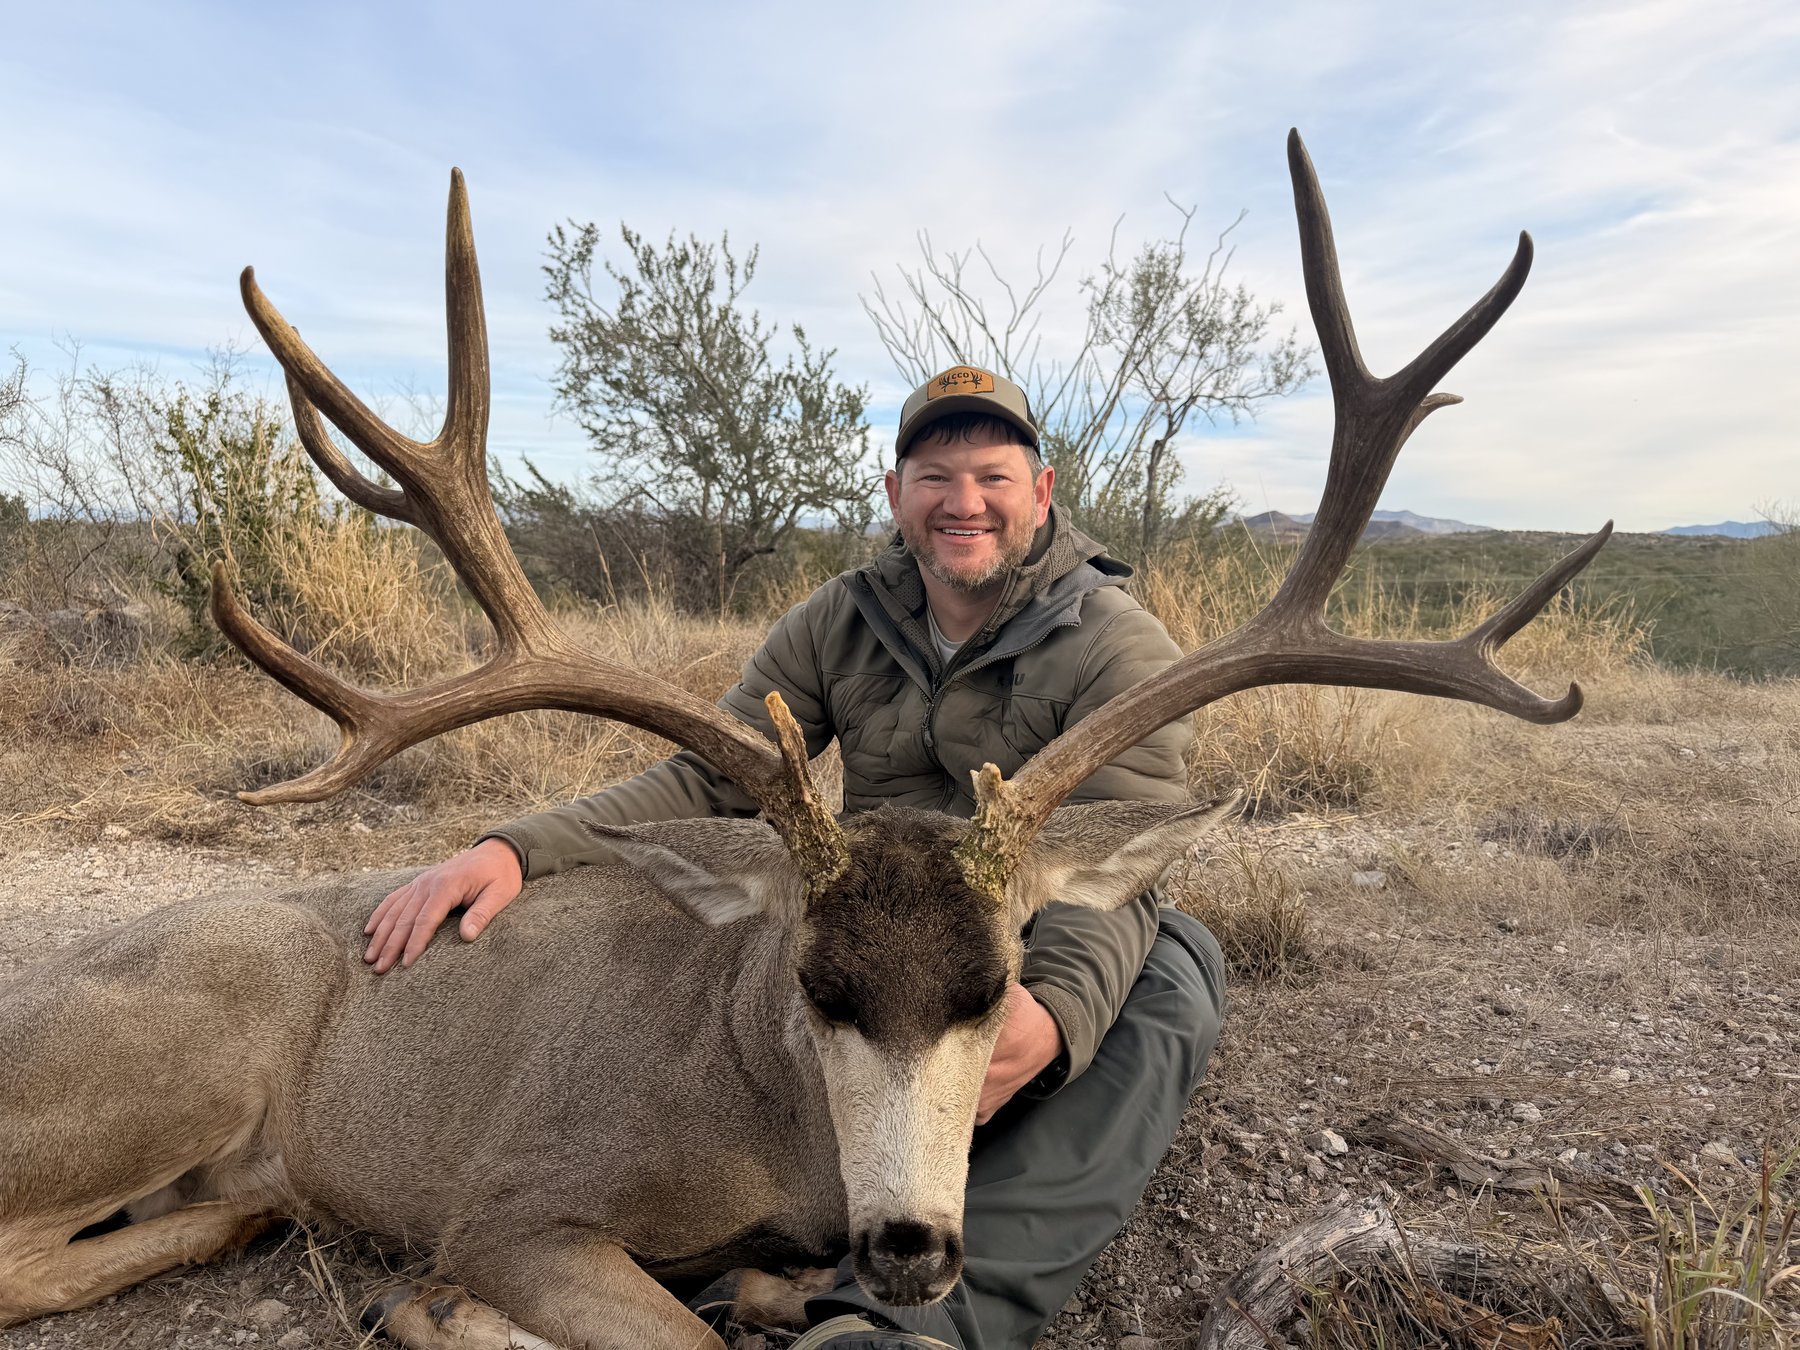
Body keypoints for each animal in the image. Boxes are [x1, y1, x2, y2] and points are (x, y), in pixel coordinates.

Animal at [0, 131, 1611, 1350]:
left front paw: (762, 1280)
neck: (762, 1118)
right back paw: (264, 1208)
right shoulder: (513, 1199)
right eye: (818, 985)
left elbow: (751, 1296)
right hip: (167, 1057)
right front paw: (442, 1307)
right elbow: (664, 1330)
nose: (909, 1248)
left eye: (996, 984)